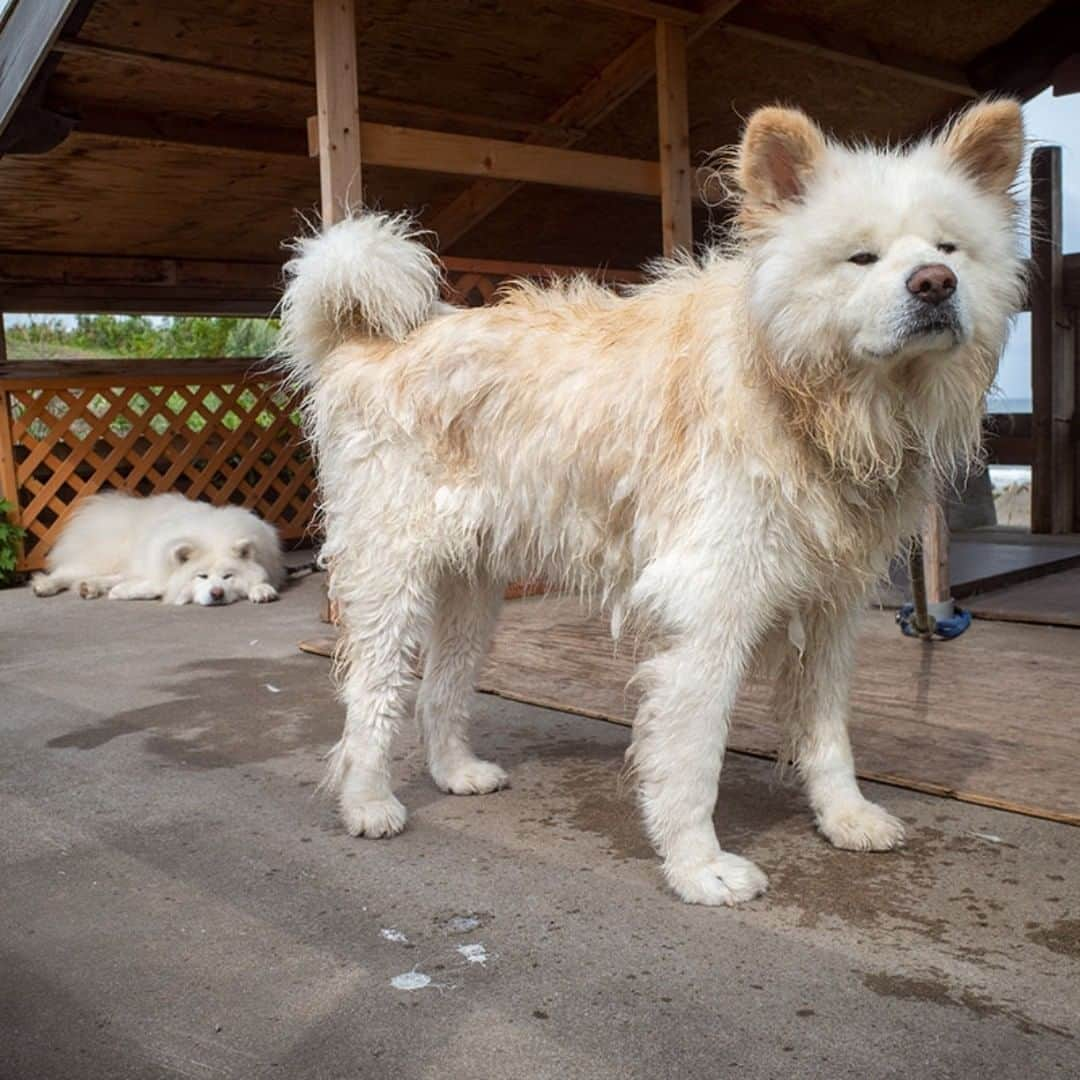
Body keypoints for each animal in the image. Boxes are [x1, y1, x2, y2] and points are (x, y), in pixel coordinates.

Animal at [33, 492, 285, 604]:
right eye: (202, 576)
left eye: (228, 576)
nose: (217, 593)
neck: (213, 535)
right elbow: (161, 585)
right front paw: (127, 592)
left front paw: (262, 589)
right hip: (105, 558)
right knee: (66, 573)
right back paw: (45, 586)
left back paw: (89, 587)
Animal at [276, 101, 1019, 902]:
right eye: (861, 258)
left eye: (949, 248)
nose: (936, 284)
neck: (798, 394)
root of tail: (362, 342)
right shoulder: (711, 606)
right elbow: (693, 758)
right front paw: (698, 869)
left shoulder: (828, 609)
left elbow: (826, 735)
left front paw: (845, 818)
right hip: (394, 579)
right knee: (371, 697)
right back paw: (367, 803)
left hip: (472, 586)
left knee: (439, 689)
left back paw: (456, 774)